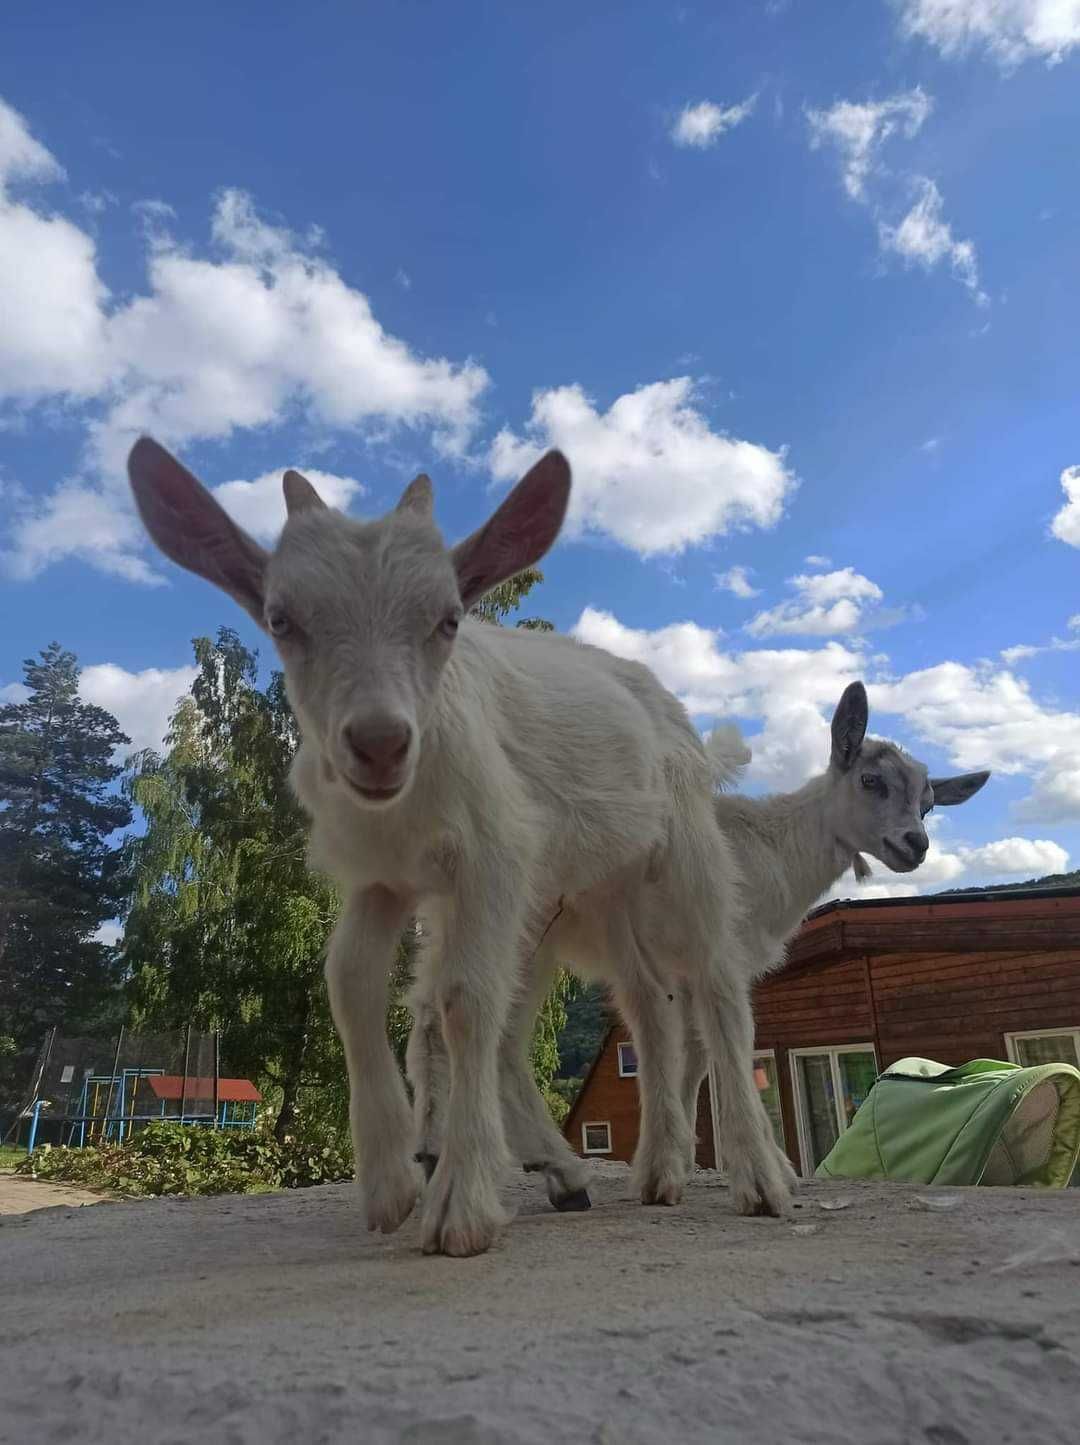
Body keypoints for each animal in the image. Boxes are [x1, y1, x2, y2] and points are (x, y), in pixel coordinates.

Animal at [128, 436, 786, 1254]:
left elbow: (464, 1001)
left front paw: (460, 1207)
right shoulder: (382, 878)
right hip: (603, 885)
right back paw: (659, 1173)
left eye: (447, 619)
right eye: (282, 619)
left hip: (681, 843)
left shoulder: (492, 856)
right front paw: (390, 1186)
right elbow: (349, 984)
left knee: (719, 986)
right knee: (648, 1003)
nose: (380, 743)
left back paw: (757, 1179)